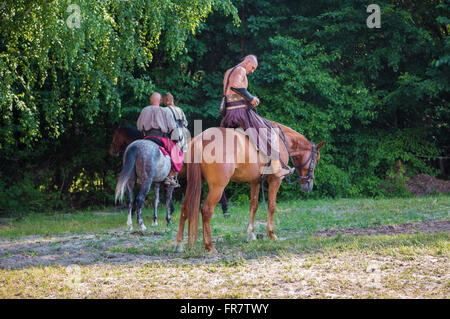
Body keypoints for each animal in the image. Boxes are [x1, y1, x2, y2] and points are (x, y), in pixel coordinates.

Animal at [174, 121, 326, 254]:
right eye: (317, 160)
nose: (309, 185)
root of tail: (200, 140)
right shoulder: (275, 180)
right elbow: (271, 206)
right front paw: (271, 234)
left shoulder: (255, 181)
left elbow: (254, 205)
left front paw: (251, 234)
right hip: (217, 188)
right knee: (206, 210)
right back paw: (209, 245)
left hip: (193, 185)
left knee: (185, 208)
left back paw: (179, 244)